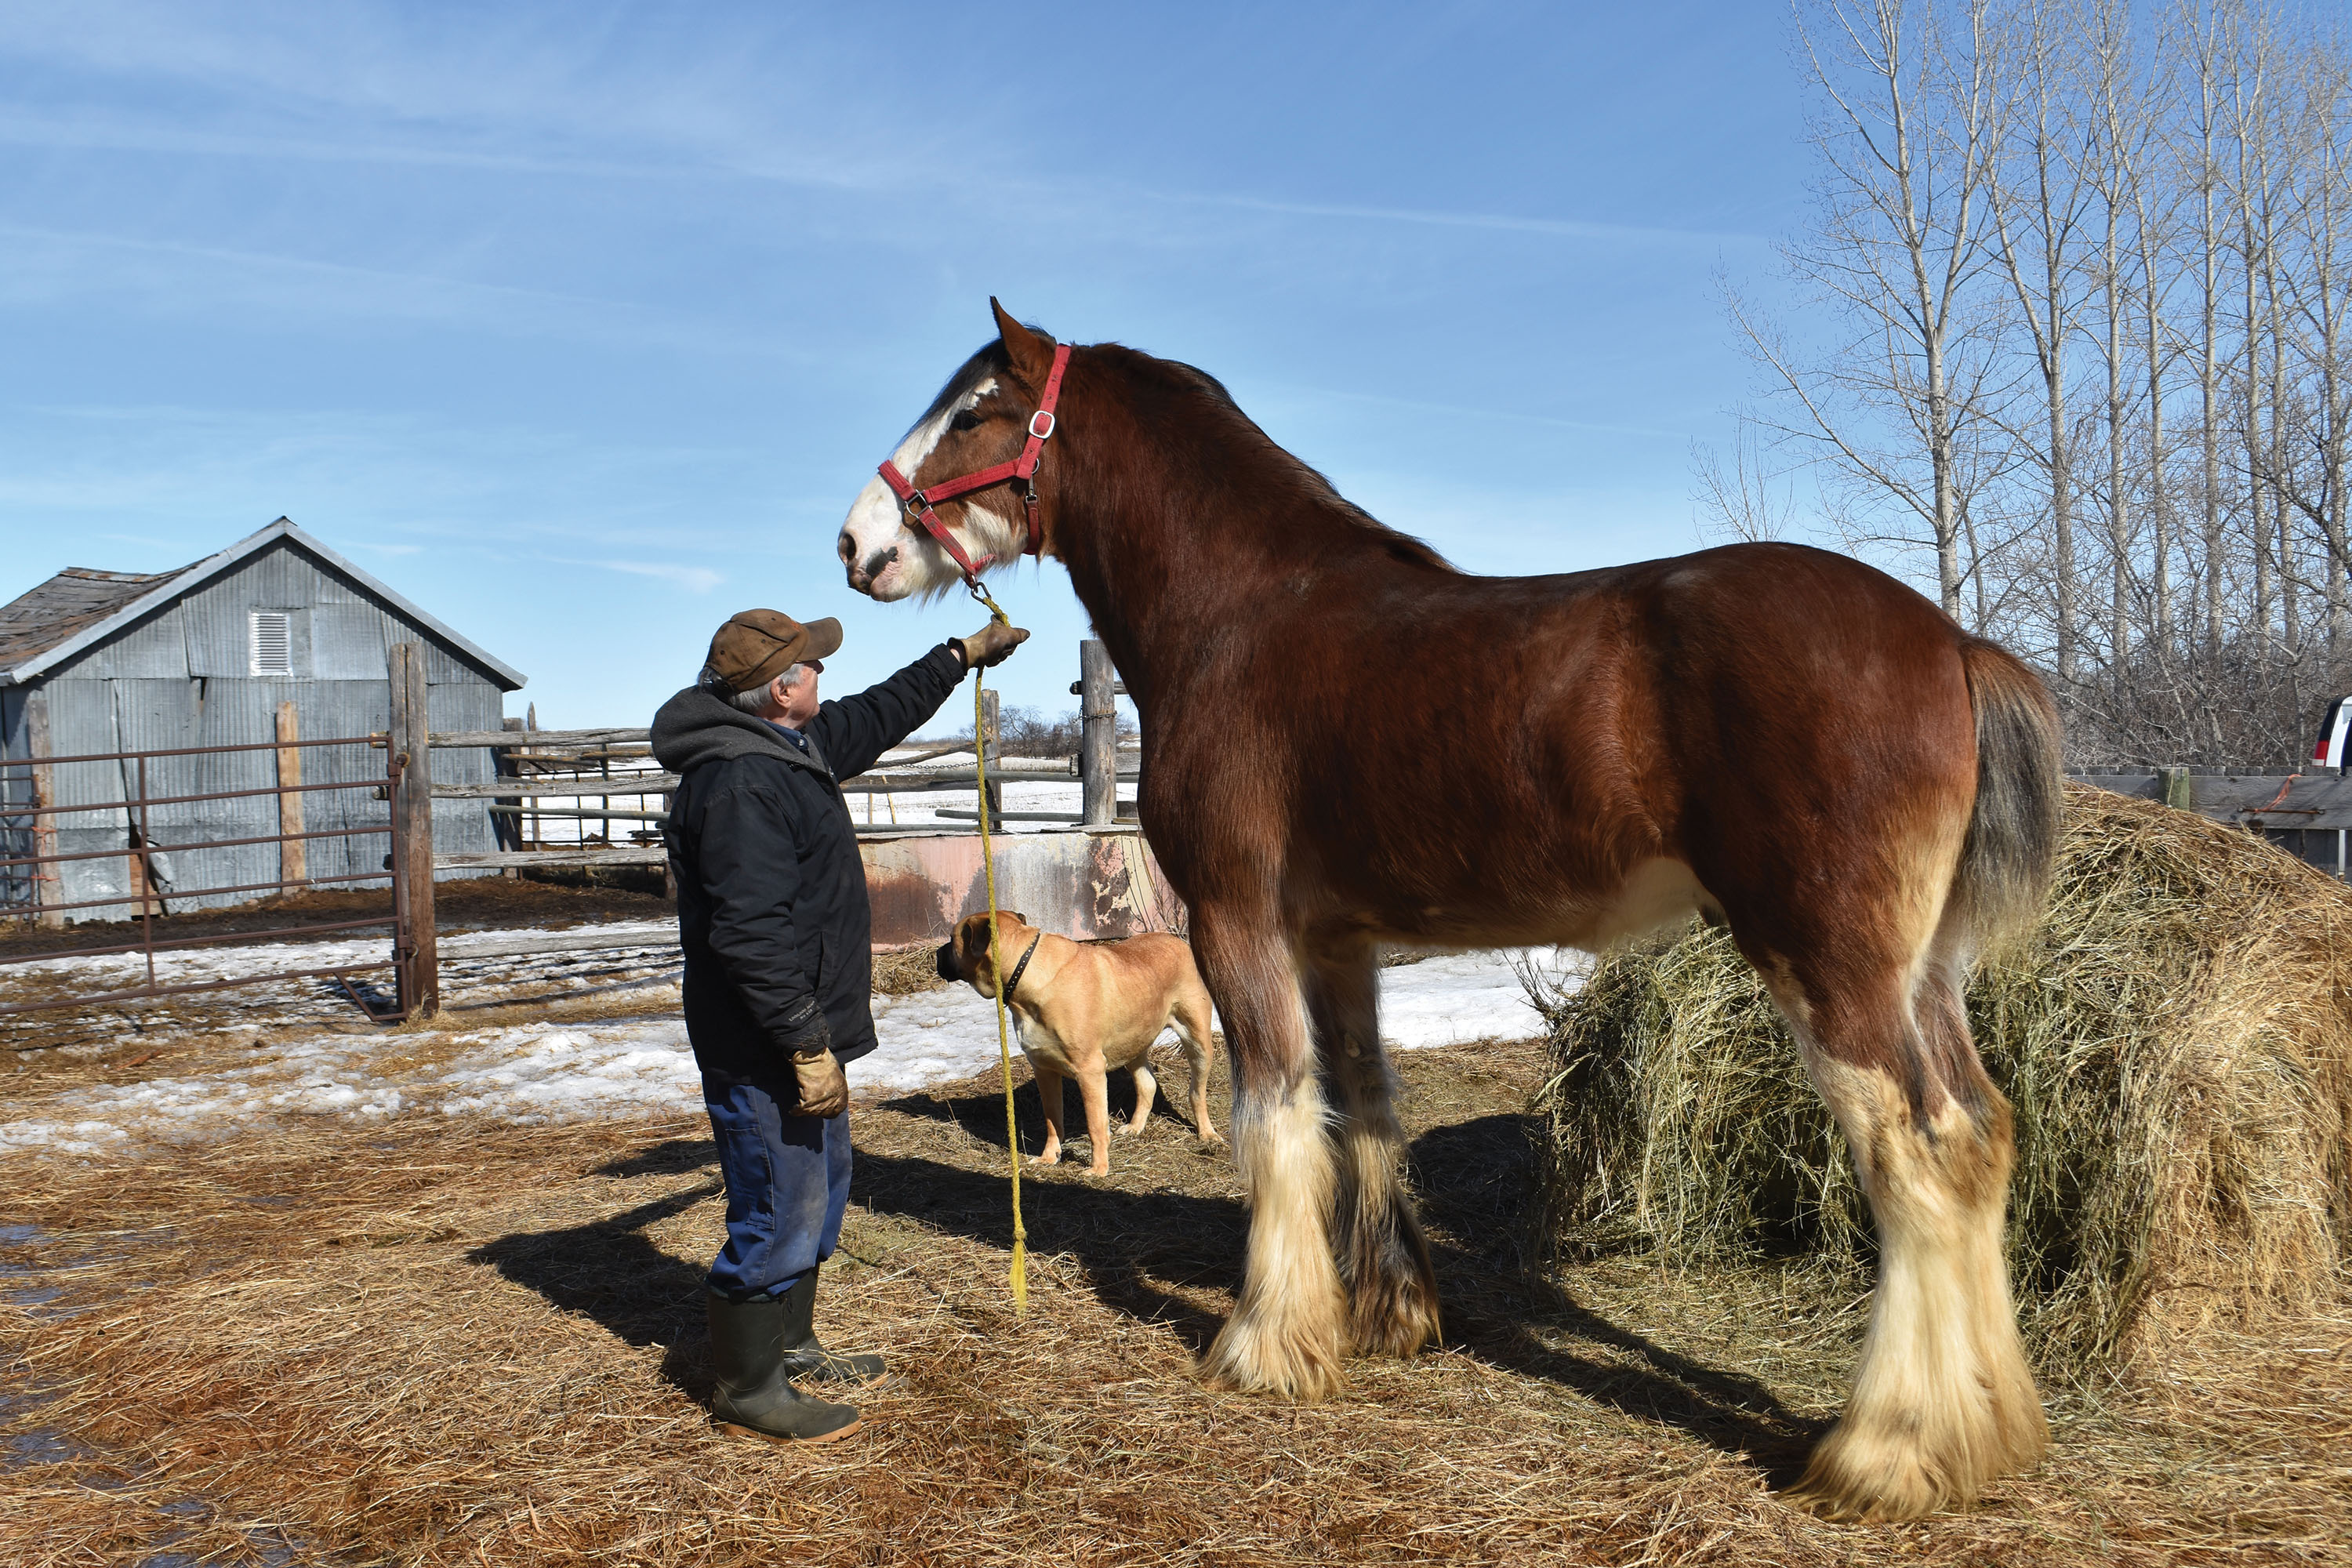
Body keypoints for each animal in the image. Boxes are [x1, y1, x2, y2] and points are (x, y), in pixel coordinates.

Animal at [836, 302, 2060, 1523]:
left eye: (975, 410)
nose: (856, 546)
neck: (1246, 616)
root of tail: (1951, 644)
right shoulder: (1337, 943)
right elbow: (1363, 1108)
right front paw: (1390, 1317)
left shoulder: (1237, 924)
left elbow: (1274, 1116)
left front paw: (1267, 1345)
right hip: (1921, 973)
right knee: (1982, 1135)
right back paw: (1988, 1428)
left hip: (1829, 961)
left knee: (1916, 1155)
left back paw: (1887, 1450)